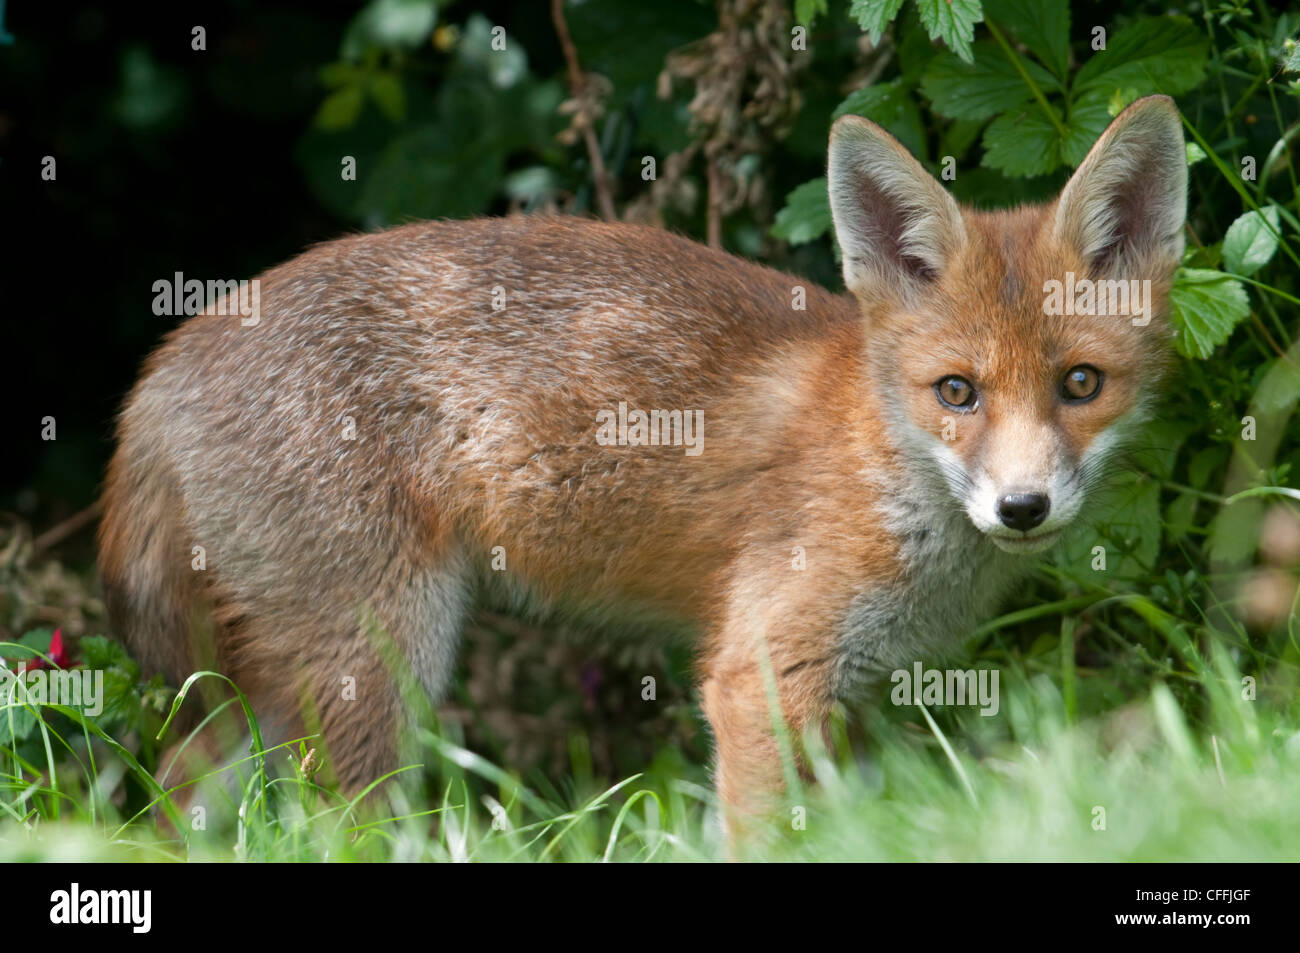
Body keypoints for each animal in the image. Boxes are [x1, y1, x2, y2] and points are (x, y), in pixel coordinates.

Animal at [96, 94, 1185, 826]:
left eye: (1080, 383)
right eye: (956, 392)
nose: (1022, 507)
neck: (883, 464)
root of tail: (170, 352)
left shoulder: (849, 695)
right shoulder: (761, 675)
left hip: (274, 687)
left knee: (179, 800)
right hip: (381, 667)